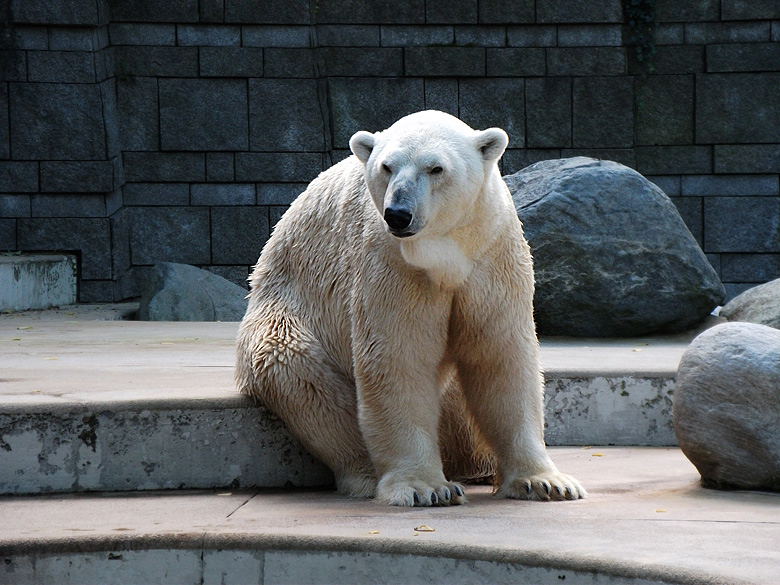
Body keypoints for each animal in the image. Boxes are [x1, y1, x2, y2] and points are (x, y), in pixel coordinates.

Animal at [238, 112, 584, 504]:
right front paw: (426, 487)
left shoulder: (491, 257)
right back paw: (366, 474)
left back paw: (478, 466)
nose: (398, 215)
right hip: (285, 315)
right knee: (305, 381)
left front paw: (545, 482)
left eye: (436, 168)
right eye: (387, 166)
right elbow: (399, 358)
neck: (446, 252)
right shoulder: (393, 264)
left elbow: (499, 355)